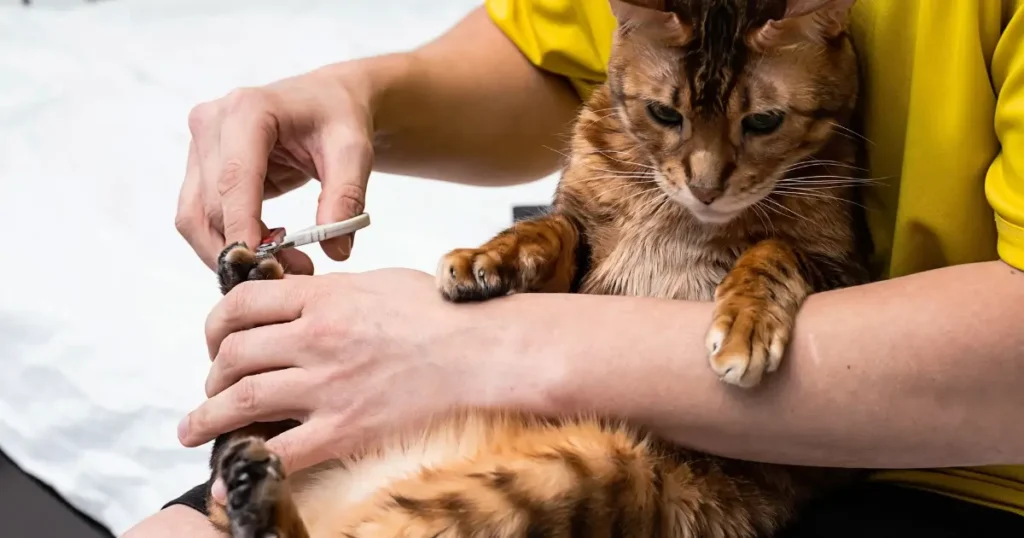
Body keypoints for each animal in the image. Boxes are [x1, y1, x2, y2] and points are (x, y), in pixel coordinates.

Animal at [205, 0, 872, 532]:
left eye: (763, 121)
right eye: (665, 114)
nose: (705, 188)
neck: (676, 211)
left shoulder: (845, 264)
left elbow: (773, 250)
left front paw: (745, 328)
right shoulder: (577, 256)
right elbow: (548, 228)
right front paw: (487, 259)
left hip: (579, 475)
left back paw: (255, 486)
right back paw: (251, 284)